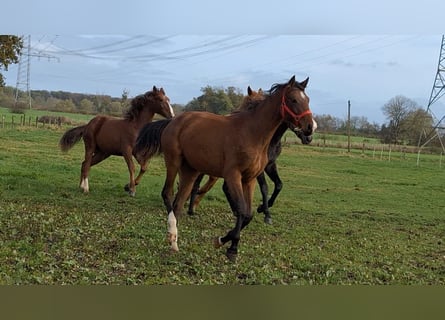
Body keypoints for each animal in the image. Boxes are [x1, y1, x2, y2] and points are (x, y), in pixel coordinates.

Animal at [186, 86, 316, 224]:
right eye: (250, 105)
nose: (309, 136)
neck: (270, 140)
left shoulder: (270, 165)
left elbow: (279, 185)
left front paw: (262, 208)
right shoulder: (257, 170)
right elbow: (264, 188)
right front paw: (266, 214)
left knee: (221, 187)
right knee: (197, 184)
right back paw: (191, 209)